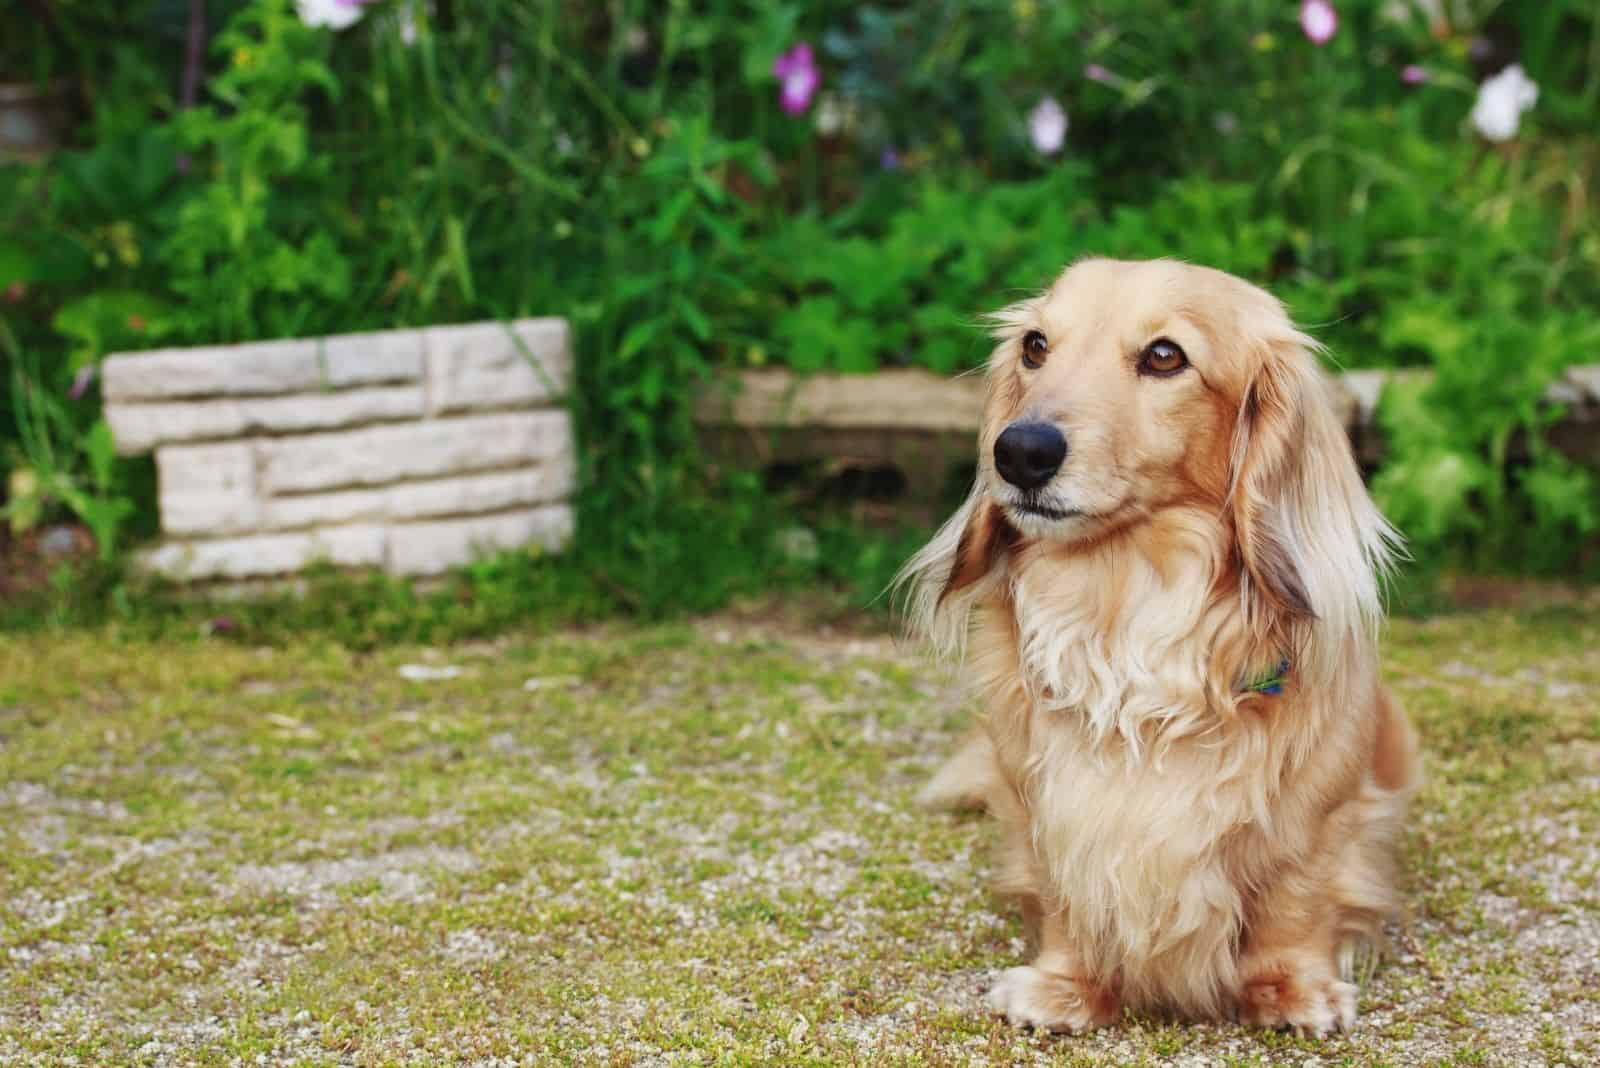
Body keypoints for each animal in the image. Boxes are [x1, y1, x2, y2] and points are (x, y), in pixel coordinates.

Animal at [908, 255, 1420, 1036]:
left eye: (1164, 356)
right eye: (1035, 346)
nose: (1019, 451)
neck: (1122, 604)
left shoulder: (1323, 813)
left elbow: (1295, 900)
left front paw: (1293, 987)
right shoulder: (1048, 807)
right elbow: (1063, 894)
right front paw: (1067, 986)